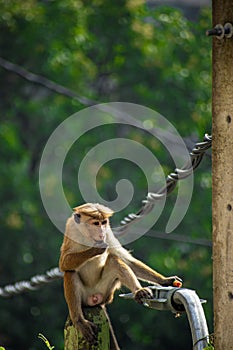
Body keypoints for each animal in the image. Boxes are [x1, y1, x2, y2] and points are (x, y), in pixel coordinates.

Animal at [59, 204, 183, 344]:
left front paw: (165, 280)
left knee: (114, 260)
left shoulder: (108, 232)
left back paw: (139, 291)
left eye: (103, 223)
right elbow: (64, 263)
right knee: (70, 272)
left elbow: (127, 260)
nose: (101, 232)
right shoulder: (71, 229)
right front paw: (95, 248)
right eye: (96, 223)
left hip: (106, 291)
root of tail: (95, 299)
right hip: (86, 296)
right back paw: (79, 321)